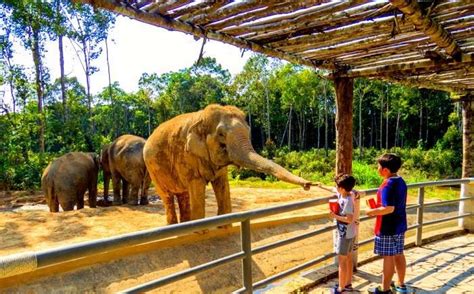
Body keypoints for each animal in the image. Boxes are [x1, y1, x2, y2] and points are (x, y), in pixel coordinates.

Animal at [142, 104, 312, 224]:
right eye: (221, 134)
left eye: (249, 130)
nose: (308, 184)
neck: (200, 117)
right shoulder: (187, 155)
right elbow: (197, 186)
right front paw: (201, 234)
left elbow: (222, 184)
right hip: (152, 170)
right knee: (167, 197)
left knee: (183, 195)